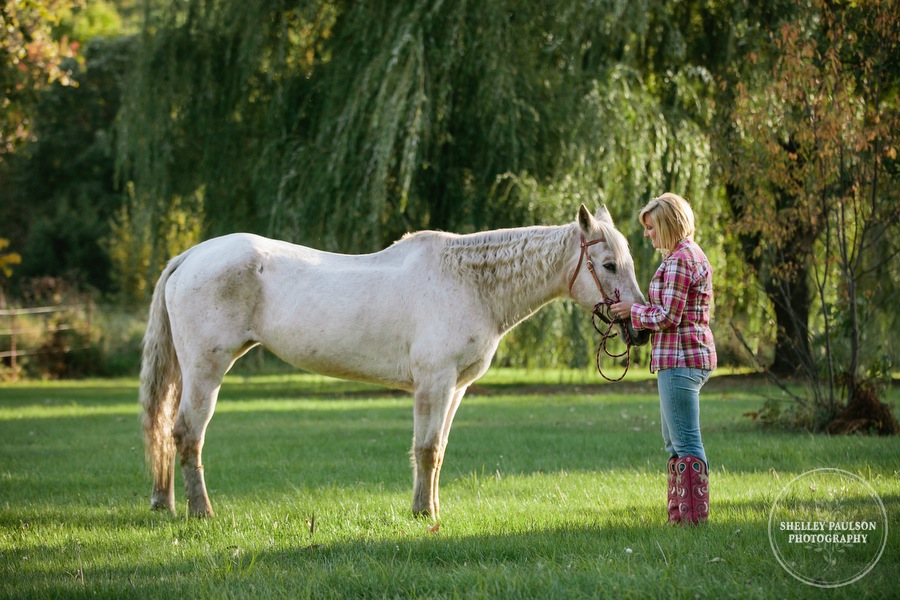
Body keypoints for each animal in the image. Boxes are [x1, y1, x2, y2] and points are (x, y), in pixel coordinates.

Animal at [141, 204, 648, 516]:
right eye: (608, 265)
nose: (638, 327)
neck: (469, 283)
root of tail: (191, 254)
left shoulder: (456, 389)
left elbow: (438, 451)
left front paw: (433, 509)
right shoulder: (433, 383)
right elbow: (425, 450)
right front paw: (422, 512)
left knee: (167, 430)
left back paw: (165, 504)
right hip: (206, 371)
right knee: (187, 433)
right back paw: (201, 512)